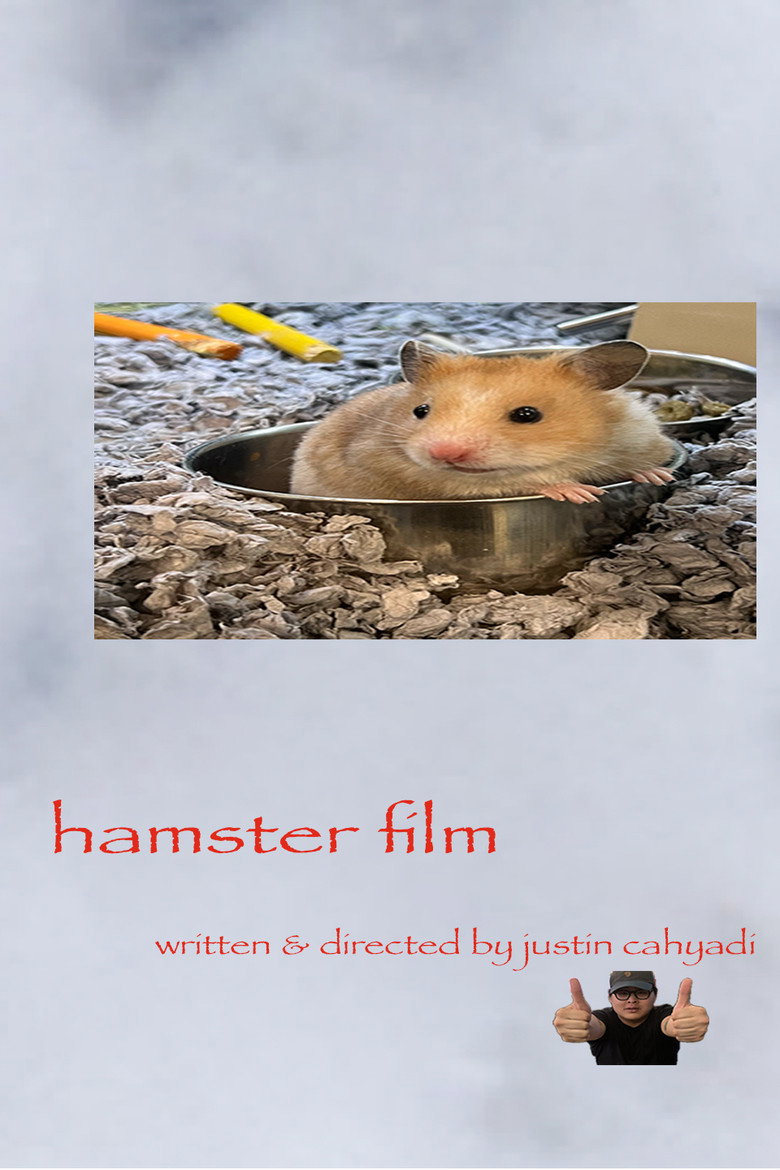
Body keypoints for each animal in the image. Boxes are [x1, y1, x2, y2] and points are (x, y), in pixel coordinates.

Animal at [290, 339, 677, 503]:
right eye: (421, 411)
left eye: (527, 415)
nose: (444, 453)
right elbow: (520, 481)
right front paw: (579, 493)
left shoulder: (637, 435)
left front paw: (658, 475)